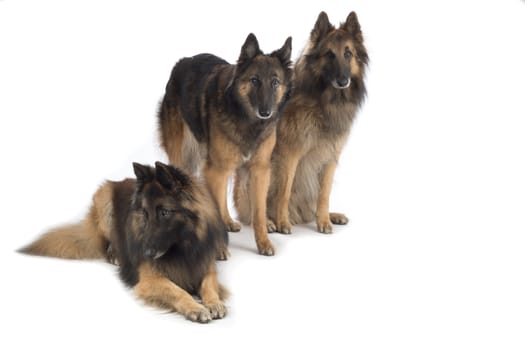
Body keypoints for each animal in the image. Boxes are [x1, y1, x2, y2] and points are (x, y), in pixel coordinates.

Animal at [18, 163, 227, 324]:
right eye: (144, 213)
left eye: (164, 212)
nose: (145, 253)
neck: (181, 246)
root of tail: (120, 181)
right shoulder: (149, 280)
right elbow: (177, 291)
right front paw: (195, 307)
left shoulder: (205, 265)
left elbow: (209, 285)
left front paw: (214, 302)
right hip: (104, 200)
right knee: (108, 242)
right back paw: (115, 255)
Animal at [158, 34, 292, 256]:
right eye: (254, 80)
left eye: (275, 82)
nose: (266, 112)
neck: (246, 120)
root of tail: (183, 61)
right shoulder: (217, 169)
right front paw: (218, 248)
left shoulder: (259, 170)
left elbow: (259, 211)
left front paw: (263, 241)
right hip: (184, 157)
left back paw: (230, 221)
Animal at [233, 10, 368, 235]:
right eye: (329, 54)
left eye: (348, 54)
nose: (343, 81)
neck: (323, 101)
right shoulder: (290, 154)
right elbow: (284, 192)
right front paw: (282, 223)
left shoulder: (330, 157)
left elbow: (324, 194)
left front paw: (324, 221)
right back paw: (269, 221)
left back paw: (330, 215)